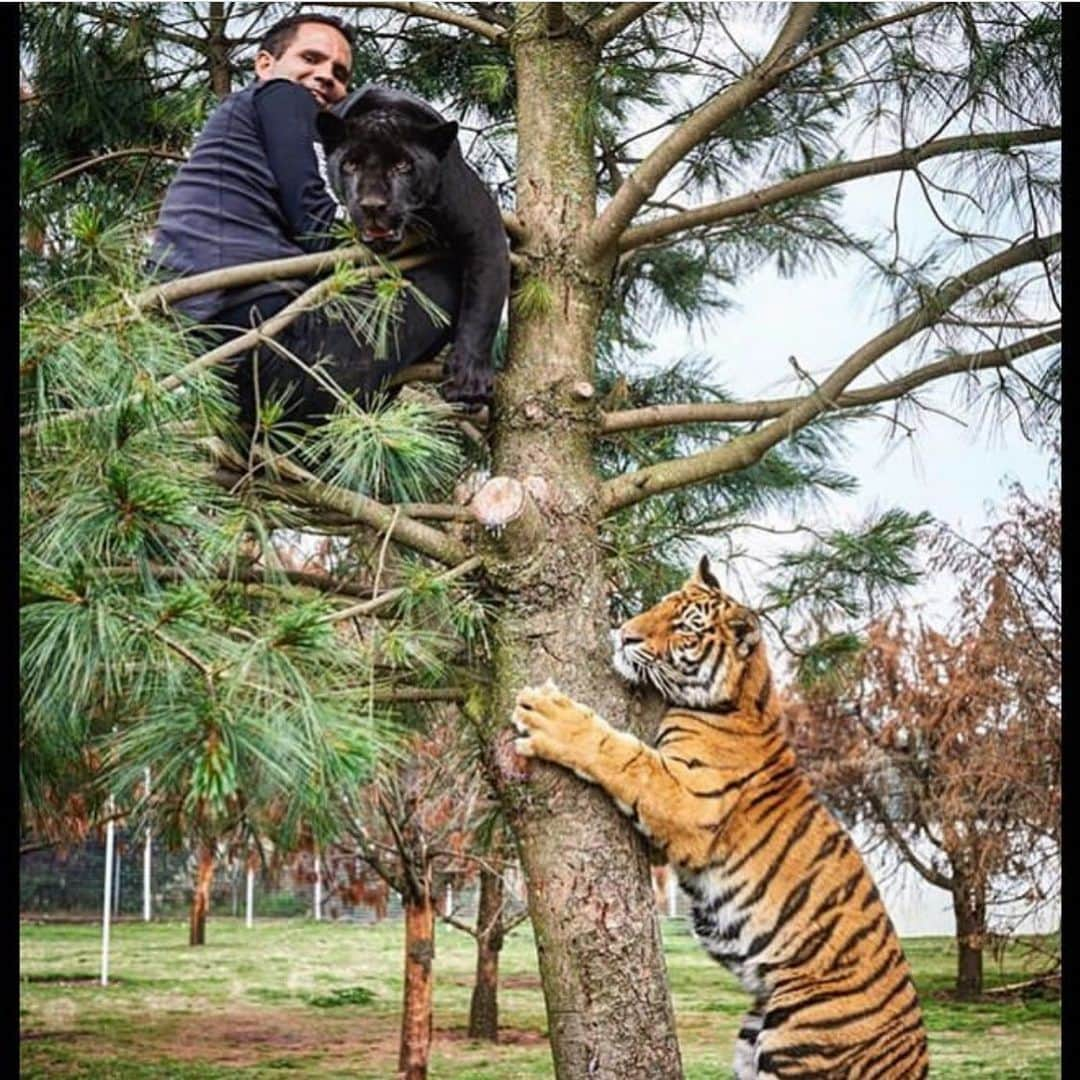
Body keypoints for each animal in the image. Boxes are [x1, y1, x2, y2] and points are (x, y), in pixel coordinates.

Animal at [511, 557, 928, 1080]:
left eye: (684, 627)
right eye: (660, 604)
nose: (623, 635)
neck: (747, 694)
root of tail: (915, 1061)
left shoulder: (685, 802)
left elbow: (620, 754)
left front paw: (549, 715)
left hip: (798, 1033)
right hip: (753, 1032)